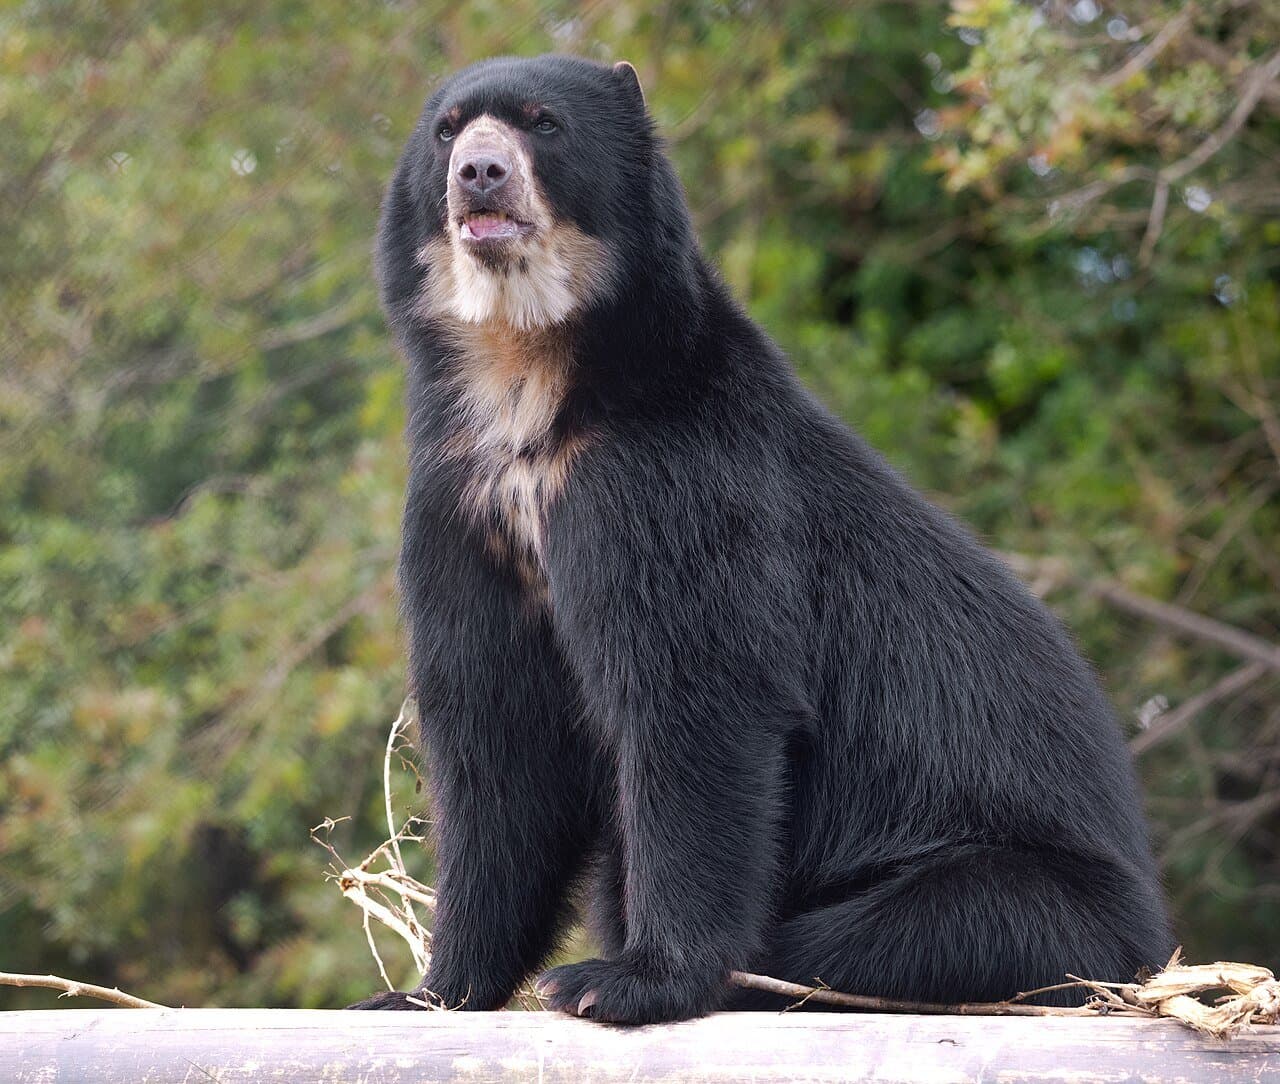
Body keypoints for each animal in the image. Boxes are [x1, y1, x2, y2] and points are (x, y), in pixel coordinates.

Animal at [349, 54, 1173, 1024]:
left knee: (890, 933)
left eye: (543, 122)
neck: (531, 379)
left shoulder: (674, 484)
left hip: (1027, 901)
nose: (479, 172)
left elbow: (699, 696)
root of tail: (1149, 945)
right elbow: (494, 735)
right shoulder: (460, 509)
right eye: (446, 130)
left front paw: (622, 981)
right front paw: (425, 994)